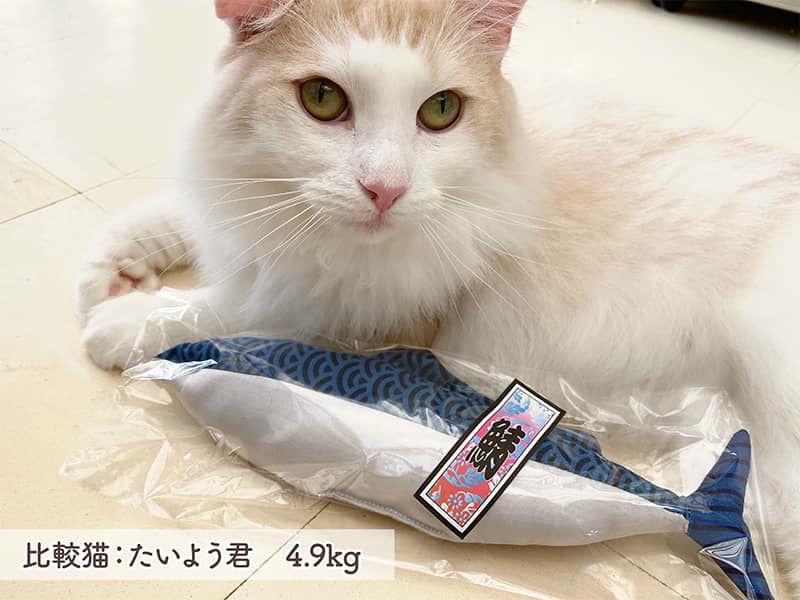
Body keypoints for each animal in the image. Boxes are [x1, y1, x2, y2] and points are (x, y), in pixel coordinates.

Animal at [77, 0, 800, 594]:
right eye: (321, 99)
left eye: (441, 112)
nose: (385, 190)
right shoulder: (249, 213)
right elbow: (180, 219)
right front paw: (111, 265)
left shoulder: (333, 311)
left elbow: (211, 309)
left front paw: (119, 321)